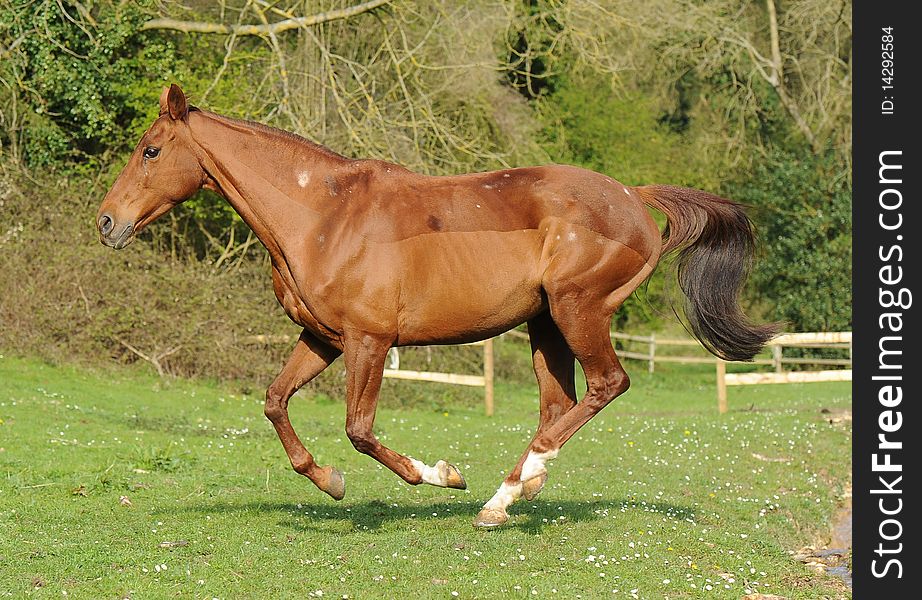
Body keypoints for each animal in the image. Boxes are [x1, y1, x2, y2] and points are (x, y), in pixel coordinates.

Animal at [95, 85, 776, 528]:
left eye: (151, 151)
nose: (106, 223)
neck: (323, 217)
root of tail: (634, 196)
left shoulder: (369, 342)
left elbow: (359, 430)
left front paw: (442, 474)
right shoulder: (322, 340)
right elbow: (274, 402)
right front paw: (329, 482)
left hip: (578, 310)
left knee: (607, 385)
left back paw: (500, 497)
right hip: (544, 324)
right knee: (559, 405)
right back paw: (518, 492)